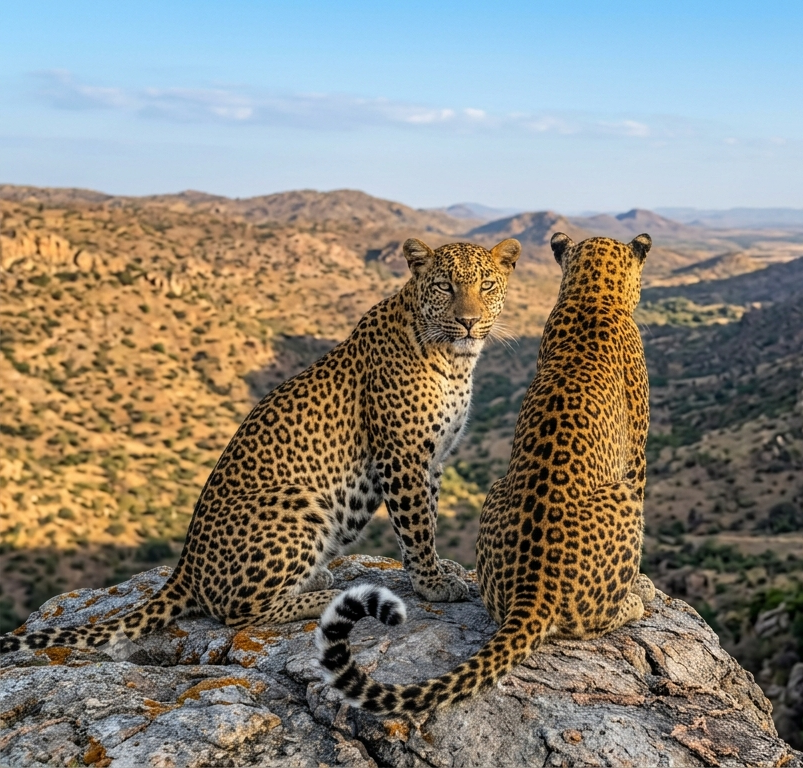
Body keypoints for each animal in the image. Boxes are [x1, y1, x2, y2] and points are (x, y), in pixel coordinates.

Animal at [0, 237, 521, 654]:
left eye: (486, 286)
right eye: (445, 287)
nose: (469, 322)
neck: (454, 361)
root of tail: (185, 569)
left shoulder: (432, 459)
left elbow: (428, 516)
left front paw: (439, 569)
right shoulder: (403, 455)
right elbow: (416, 526)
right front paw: (432, 584)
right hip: (298, 502)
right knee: (239, 612)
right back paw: (323, 595)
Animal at [317, 232, 657, 716]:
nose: (468, 322)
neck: (591, 294)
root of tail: (534, 593)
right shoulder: (638, 457)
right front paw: (644, 582)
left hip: (495, 491)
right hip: (621, 498)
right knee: (594, 619)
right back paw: (633, 601)